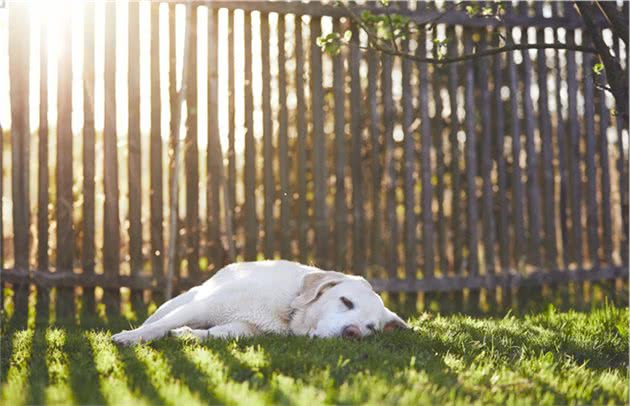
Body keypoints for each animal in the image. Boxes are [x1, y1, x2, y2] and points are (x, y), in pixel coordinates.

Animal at [112, 260, 410, 346]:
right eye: (346, 301)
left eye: (370, 328)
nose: (352, 333)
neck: (287, 310)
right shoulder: (202, 307)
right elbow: (159, 326)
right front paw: (130, 338)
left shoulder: (247, 328)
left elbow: (219, 333)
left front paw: (189, 335)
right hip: (182, 301)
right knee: (158, 319)